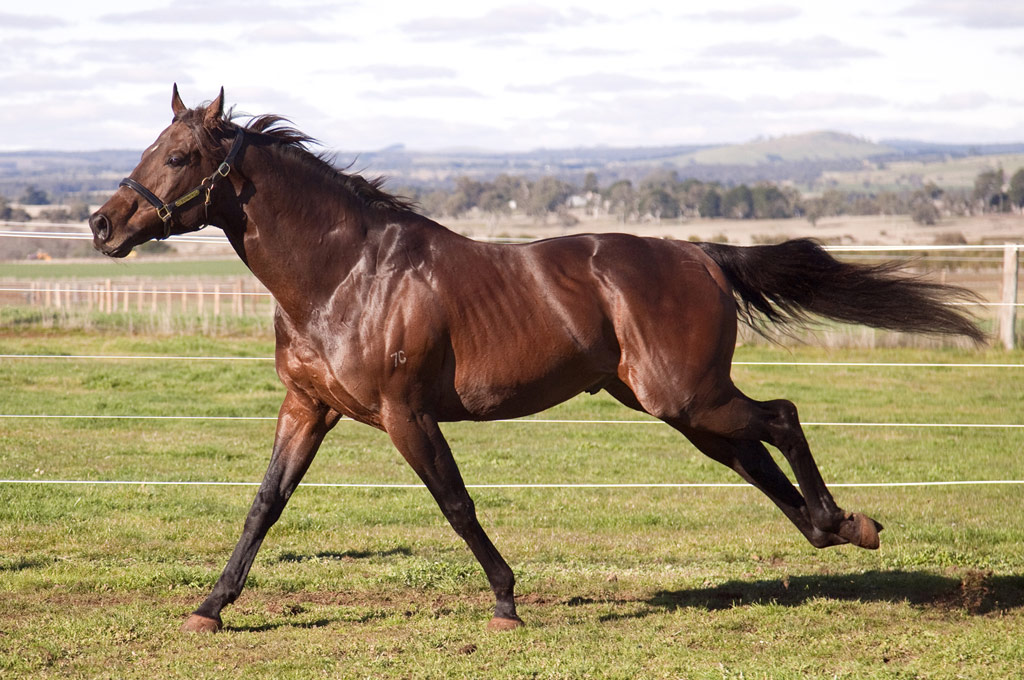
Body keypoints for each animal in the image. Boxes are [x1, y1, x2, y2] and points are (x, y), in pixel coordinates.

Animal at [88, 86, 983, 630]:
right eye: (153, 144)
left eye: (179, 156)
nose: (103, 224)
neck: (346, 274)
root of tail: (700, 256)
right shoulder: (308, 408)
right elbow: (264, 505)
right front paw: (210, 605)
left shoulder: (405, 414)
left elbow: (456, 504)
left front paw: (506, 602)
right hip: (674, 404)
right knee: (753, 456)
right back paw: (838, 529)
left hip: (685, 396)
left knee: (783, 419)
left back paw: (845, 522)